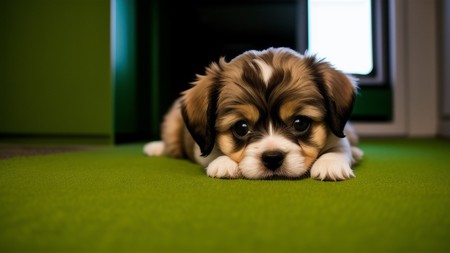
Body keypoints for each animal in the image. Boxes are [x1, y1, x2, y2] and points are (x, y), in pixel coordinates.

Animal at [146, 47, 364, 181]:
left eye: (300, 123)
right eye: (241, 128)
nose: (273, 158)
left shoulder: (338, 133)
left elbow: (340, 146)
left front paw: (330, 164)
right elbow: (212, 152)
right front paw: (223, 163)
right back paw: (155, 147)